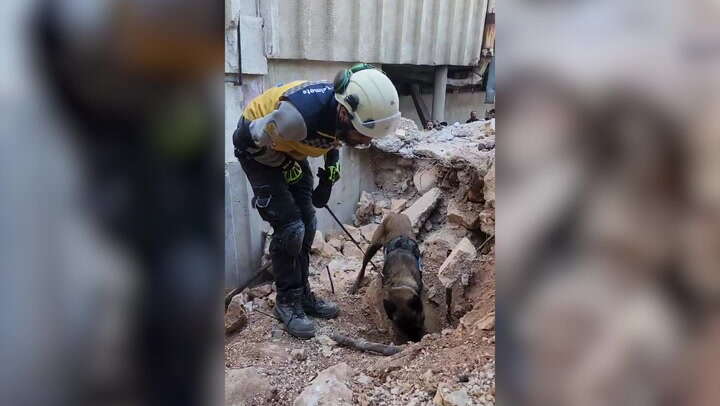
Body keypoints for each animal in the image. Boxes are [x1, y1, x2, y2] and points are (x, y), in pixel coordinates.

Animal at [352, 213, 424, 342]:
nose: (415, 341)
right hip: (373, 246)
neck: (400, 281)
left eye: (418, 324)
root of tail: (396, 214)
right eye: (403, 329)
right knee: (364, 265)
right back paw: (356, 284)